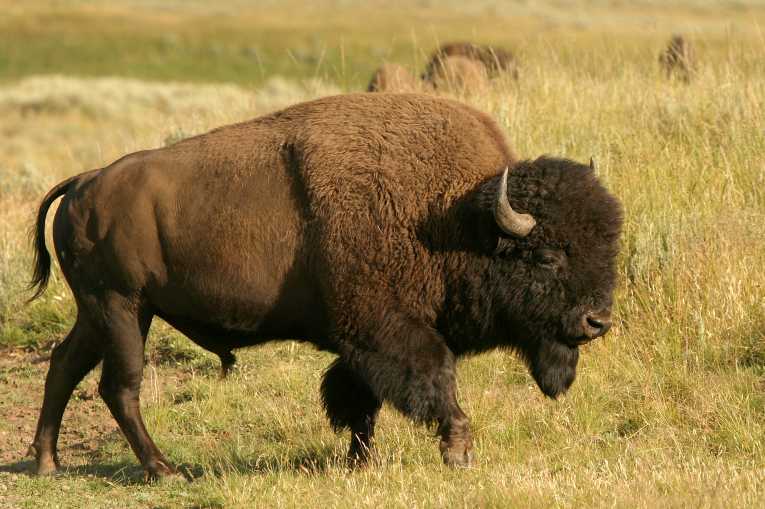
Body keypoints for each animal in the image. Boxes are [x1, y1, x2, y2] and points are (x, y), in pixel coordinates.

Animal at [27, 93, 622, 480]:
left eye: (607, 247)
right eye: (546, 255)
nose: (597, 322)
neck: (452, 217)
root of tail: (84, 183)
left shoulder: (361, 344)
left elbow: (357, 401)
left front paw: (361, 463)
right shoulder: (387, 330)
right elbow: (433, 380)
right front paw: (458, 452)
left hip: (104, 311)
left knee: (64, 364)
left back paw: (47, 462)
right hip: (122, 307)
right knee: (119, 386)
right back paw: (163, 469)